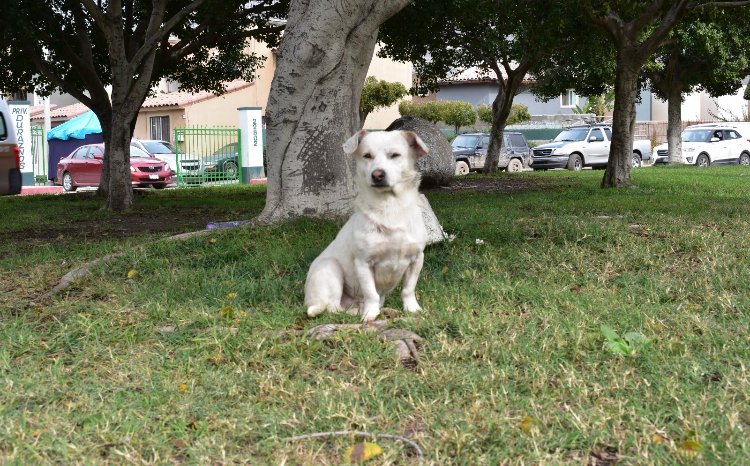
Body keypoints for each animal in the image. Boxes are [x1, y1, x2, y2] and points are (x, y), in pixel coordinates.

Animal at [306, 129, 428, 322]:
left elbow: (408, 289)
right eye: (367, 156)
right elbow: (371, 293)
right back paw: (359, 313)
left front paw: (412, 309)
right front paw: (369, 315)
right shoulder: (363, 263)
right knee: (333, 308)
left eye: (395, 155)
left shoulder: (416, 259)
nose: (377, 174)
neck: (390, 206)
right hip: (331, 269)